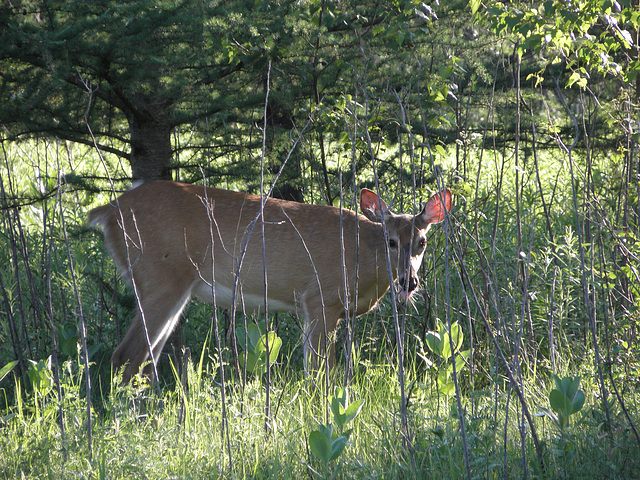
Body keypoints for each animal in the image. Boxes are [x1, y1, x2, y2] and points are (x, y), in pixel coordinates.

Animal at [87, 180, 452, 382]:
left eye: (422, 242)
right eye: (391, 241)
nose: (409, 281)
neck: (362, 256)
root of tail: (107, 210)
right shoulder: (320, 297)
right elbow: (321, 371)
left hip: (172, 285)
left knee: (146, 359)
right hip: (160, 274)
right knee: (127, 356)